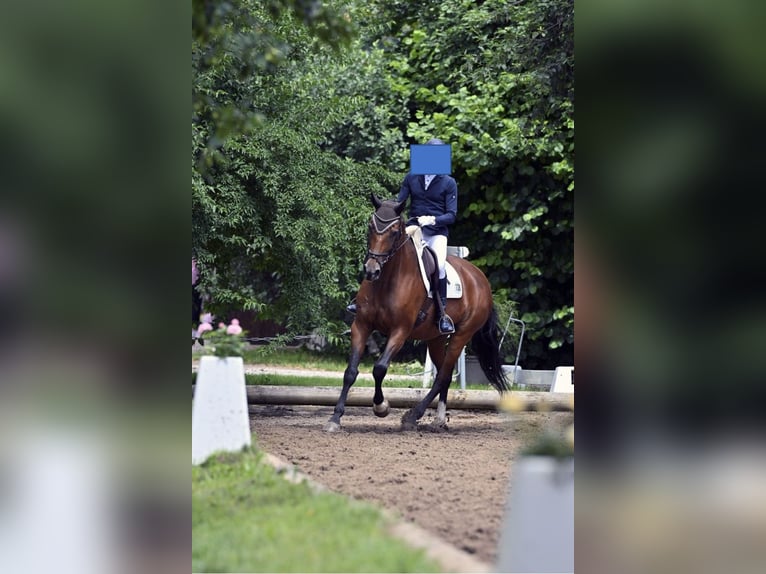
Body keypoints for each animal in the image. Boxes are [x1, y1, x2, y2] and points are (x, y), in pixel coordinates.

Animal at [324, 194, 510, 432]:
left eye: (394, 232)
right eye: (370, 227)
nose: (371, 270)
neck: (387, 280)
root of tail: (481, 279)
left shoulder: (400, 331)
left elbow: (380, 368)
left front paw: (381, 407)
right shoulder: (361, 326)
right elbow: (350, 372)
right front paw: (335, 418)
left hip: (462, 335)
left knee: (443, 374)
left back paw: (413, 416)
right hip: (436, 338)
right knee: (444, 374)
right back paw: (438, 419)